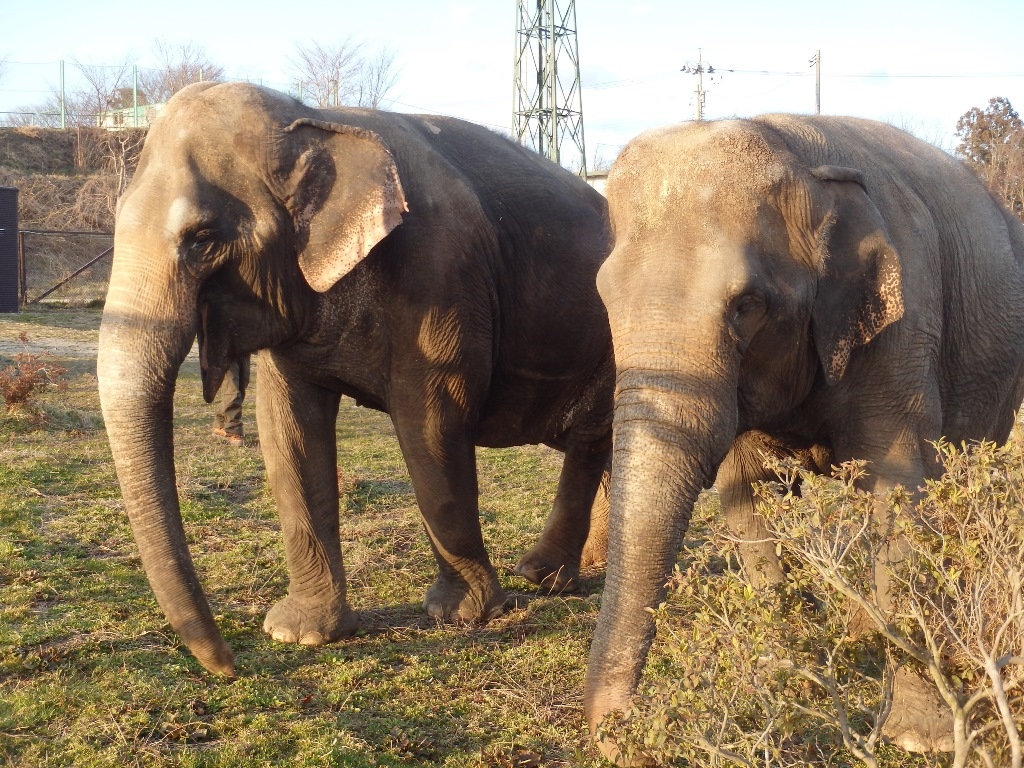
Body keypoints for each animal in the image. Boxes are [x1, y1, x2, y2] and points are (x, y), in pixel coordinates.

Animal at [97, 81, 614, 675]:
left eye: (203, 237)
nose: (231, 665)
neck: (317, 122)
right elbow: (289, 431)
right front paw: (298, 634)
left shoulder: (441, 276)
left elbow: (431, 420)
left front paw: (462, 614)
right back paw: (585, 564)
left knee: (588, 441)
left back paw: (542, 576)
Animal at [585, 115, 1024, 765]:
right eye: (605, 299)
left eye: (746, 306)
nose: (622, 735)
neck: (794, 153)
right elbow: (746, 492)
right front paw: (782, 668)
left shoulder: (904, 324)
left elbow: (899, 485)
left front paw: (916, 737)